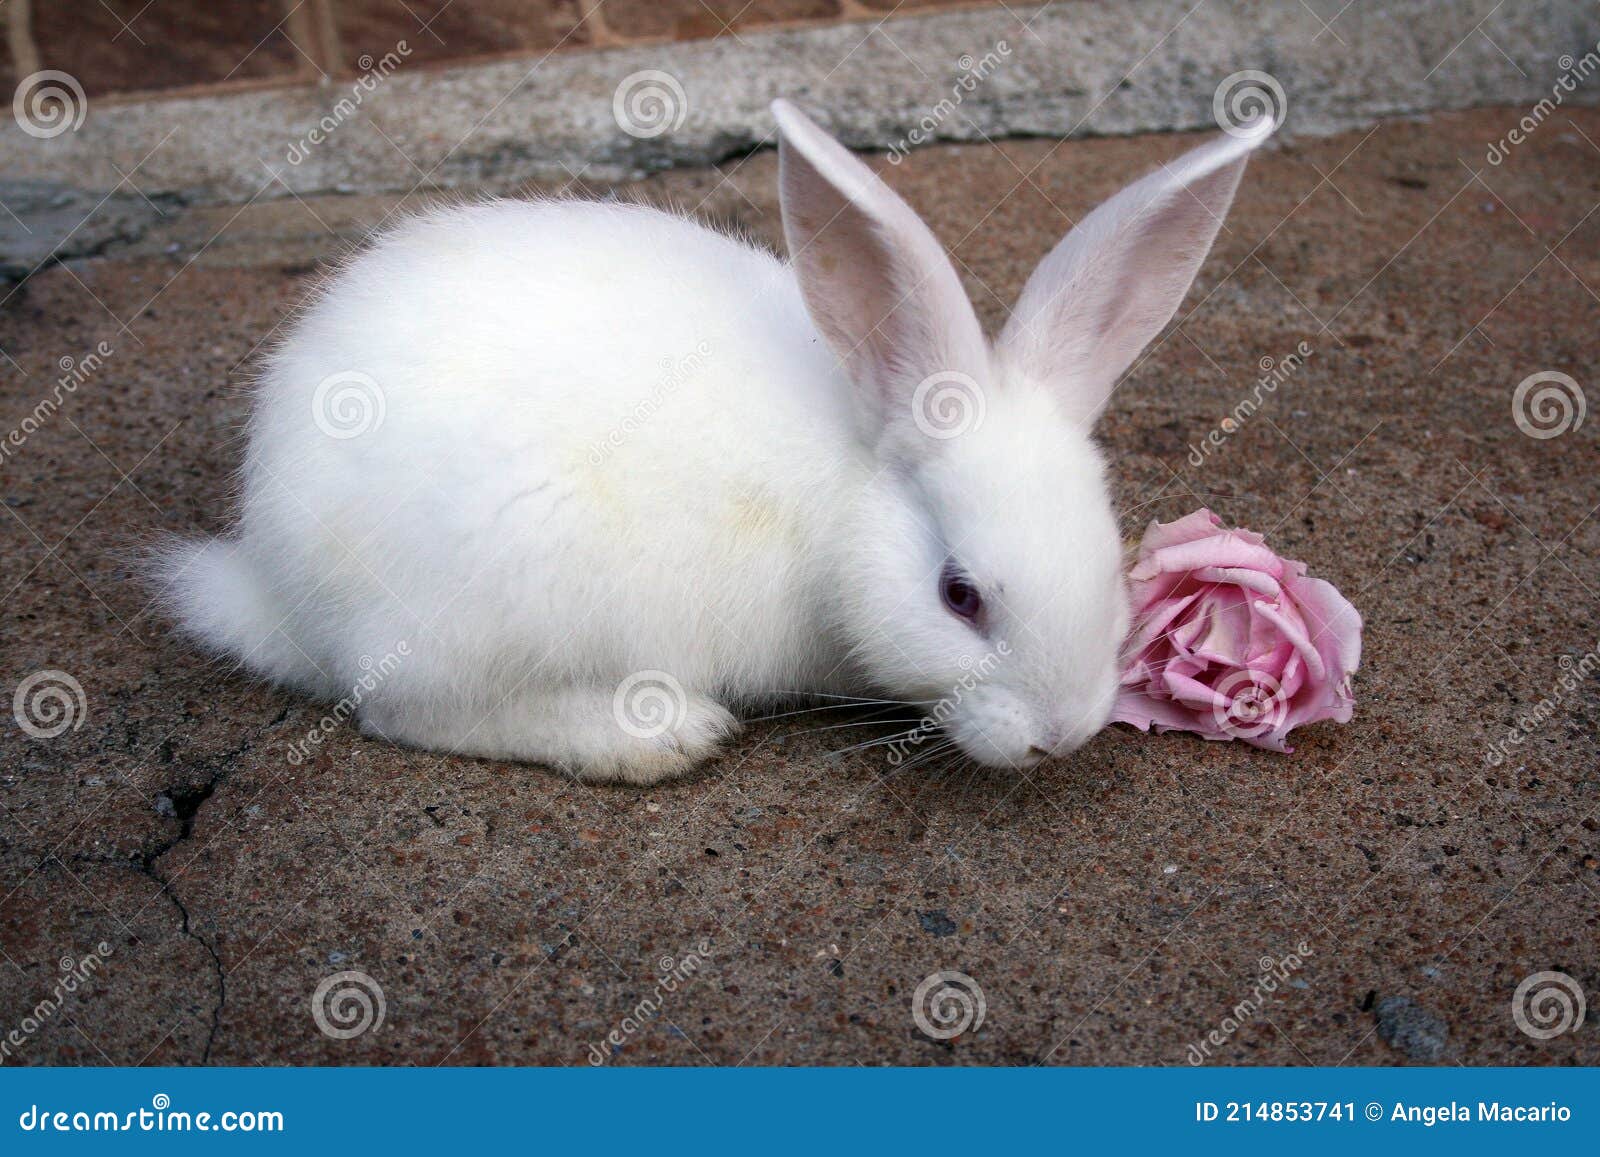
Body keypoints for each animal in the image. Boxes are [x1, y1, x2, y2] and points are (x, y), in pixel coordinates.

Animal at [155, 99, 1274, 784]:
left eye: (1110, 562)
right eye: (959, 595)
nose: (1060, 735)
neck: (851, 491)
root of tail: (271, 579)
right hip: (489, 596)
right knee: (407, 708)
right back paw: (650, 735)